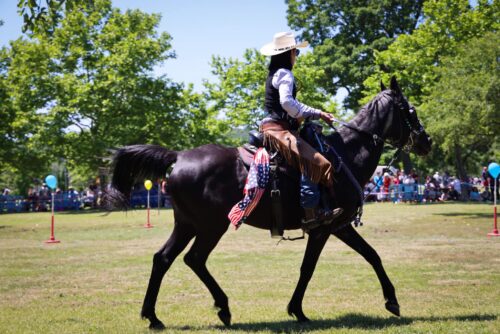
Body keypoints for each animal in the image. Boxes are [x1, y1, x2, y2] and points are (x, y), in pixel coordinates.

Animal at [109, 77, 434, 328]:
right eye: (410, 109)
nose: (427, 141)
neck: (345, 157)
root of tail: (178, 157)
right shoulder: (323, 229)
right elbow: (308, 268)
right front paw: (298, 311)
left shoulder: (339, 226)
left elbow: (372, 255)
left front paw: (392, 300)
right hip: (211, 227)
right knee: (194, 259)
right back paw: (222, 308)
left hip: (187, 225)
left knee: (164, 259)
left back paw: (154, 317)